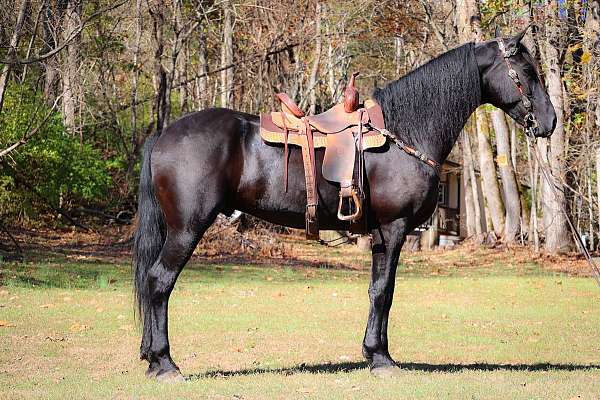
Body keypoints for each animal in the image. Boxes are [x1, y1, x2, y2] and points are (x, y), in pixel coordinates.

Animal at [134, 31, 556, 382]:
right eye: (525, 71)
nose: (550, 122)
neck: (405, 132)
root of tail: (164, 134)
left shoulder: (383, 235)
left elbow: (381, 290)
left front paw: (376, 353)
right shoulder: (393, 229)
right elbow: (383, 291)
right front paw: (381, 359)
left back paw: (154, 361)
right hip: (187, 229)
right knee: (159, 282)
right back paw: (165, 364)